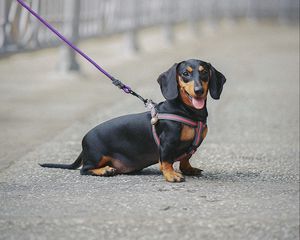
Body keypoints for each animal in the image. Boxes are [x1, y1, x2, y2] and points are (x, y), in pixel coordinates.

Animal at [40, 59, 225, 182]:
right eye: (185, 73)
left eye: (204, 72)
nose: (199, 90)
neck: (188, 112)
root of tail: (84, 142)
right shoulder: (167, 143)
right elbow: (166, 161)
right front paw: (171, 175)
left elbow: (186, 159)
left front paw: (188, 169)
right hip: (97, 156)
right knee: (84, 169)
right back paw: (104, 171)